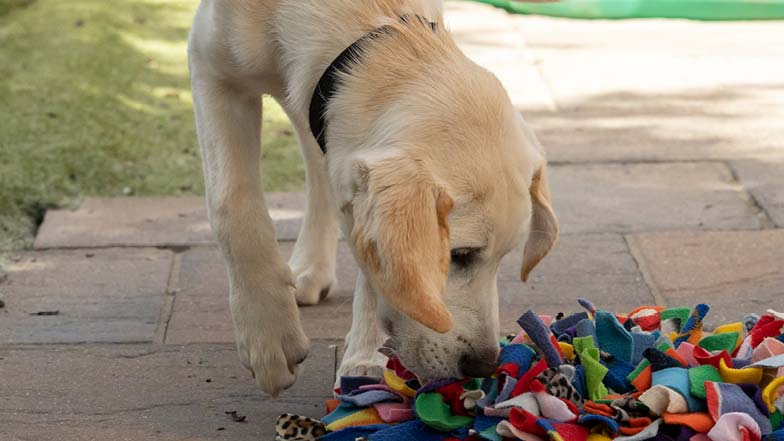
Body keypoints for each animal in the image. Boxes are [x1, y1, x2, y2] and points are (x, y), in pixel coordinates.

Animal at [188, 0, 556, 398]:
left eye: (503, 258)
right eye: (459, 255)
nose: (484, 365)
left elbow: (374, 263)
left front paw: (366, 359)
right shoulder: (209, 65)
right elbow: (231, 206)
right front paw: (268, 335)